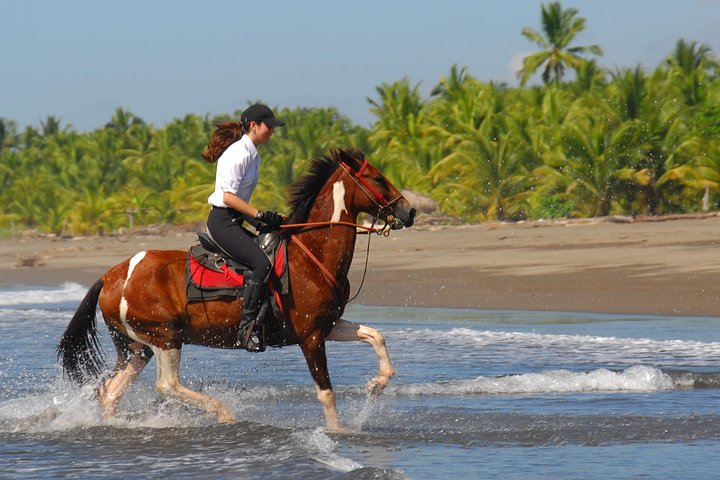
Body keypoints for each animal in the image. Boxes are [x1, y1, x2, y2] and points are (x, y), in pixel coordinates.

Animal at [56, 147, 416, 432]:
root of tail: (112, 275)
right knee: (166, 385)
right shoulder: (311, 336)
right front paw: (338, 432)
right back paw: (224, 414)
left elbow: (376, 336)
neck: (311, 255)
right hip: (164, 337)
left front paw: (377, 385)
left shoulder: (327, 326)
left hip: (137, 346)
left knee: (110, 390)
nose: (409, 211)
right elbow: (326, 392)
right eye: (377, 178)